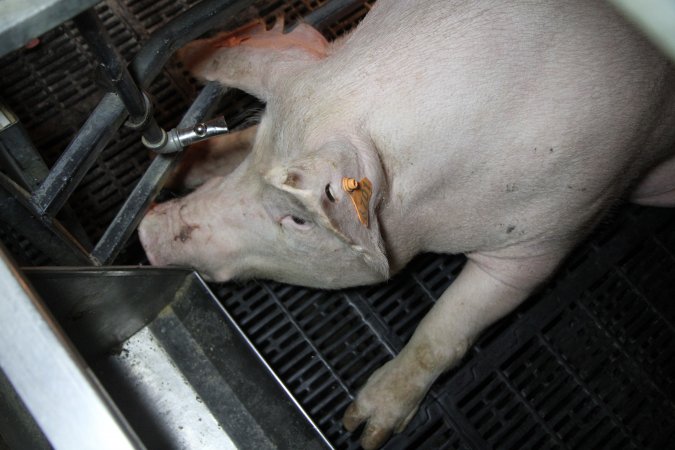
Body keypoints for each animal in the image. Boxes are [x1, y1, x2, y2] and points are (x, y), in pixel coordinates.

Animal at [137, 0, 675, 446]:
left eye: (296, 219)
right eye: (256, 160)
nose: (147, 231)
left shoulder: (548, 234)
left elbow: (446, 328)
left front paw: (362, 428)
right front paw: (178, 170)